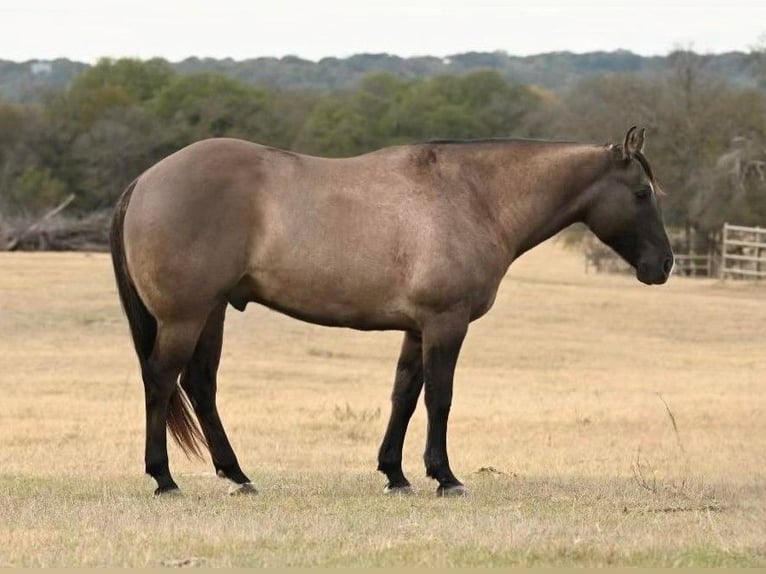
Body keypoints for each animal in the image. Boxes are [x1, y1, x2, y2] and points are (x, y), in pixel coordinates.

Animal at [111, 127, 676, 500]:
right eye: (642, 193)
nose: (665, 265)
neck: (475, 197)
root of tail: (144, 181)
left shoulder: (417, 328)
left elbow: (404, 395)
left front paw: (395, 474)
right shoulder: (446, 323)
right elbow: (440, 399)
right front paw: (444, 477)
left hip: (211, 313)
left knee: (200, 386)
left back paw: (238, 475)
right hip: (186, 316)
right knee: (161, 381)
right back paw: (164, 478)